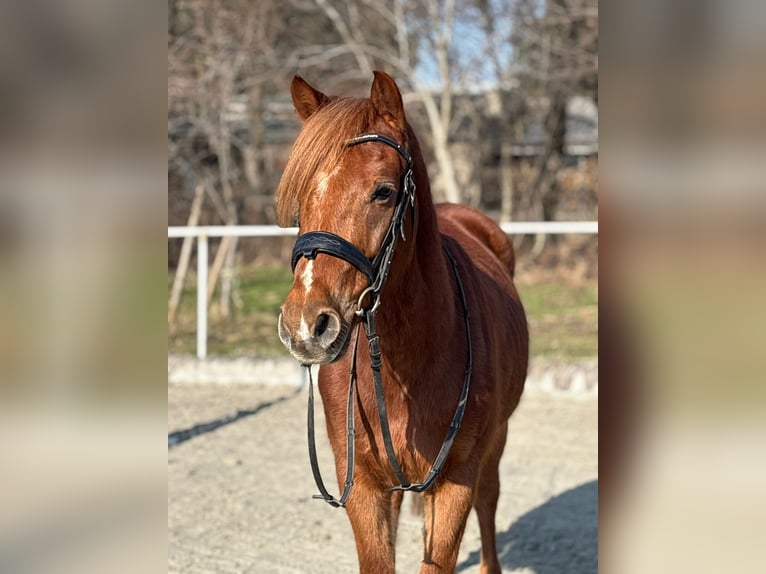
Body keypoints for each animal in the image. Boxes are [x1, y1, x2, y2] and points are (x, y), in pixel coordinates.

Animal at [276, 70, 528, 574]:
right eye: (301, 199)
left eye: (384, 191)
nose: (307, 325)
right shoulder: (364, 487)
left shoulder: (456, 482)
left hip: (494, 444)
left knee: (489, 501)